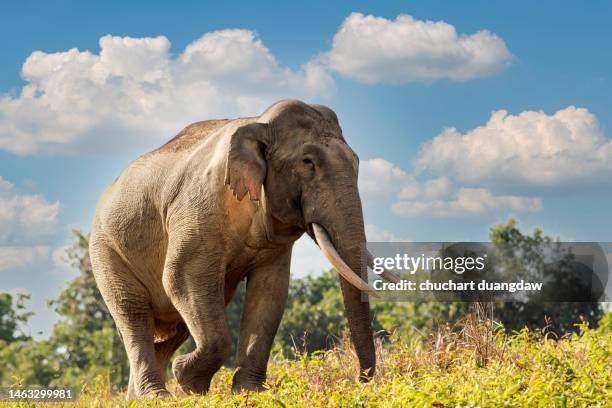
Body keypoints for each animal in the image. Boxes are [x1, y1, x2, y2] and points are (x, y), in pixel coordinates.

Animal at [88, 99, 400, 398]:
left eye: (357, 162)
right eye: (308, 162)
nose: (361, 381)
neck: (257, 121)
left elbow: (270, 291)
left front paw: (248, 391)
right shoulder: (198, 211)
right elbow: (181, 278)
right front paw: (190, 382)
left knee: (173, 329)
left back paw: (138, 398)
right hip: (106, 251)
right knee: (134, 314)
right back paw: (155, 397)